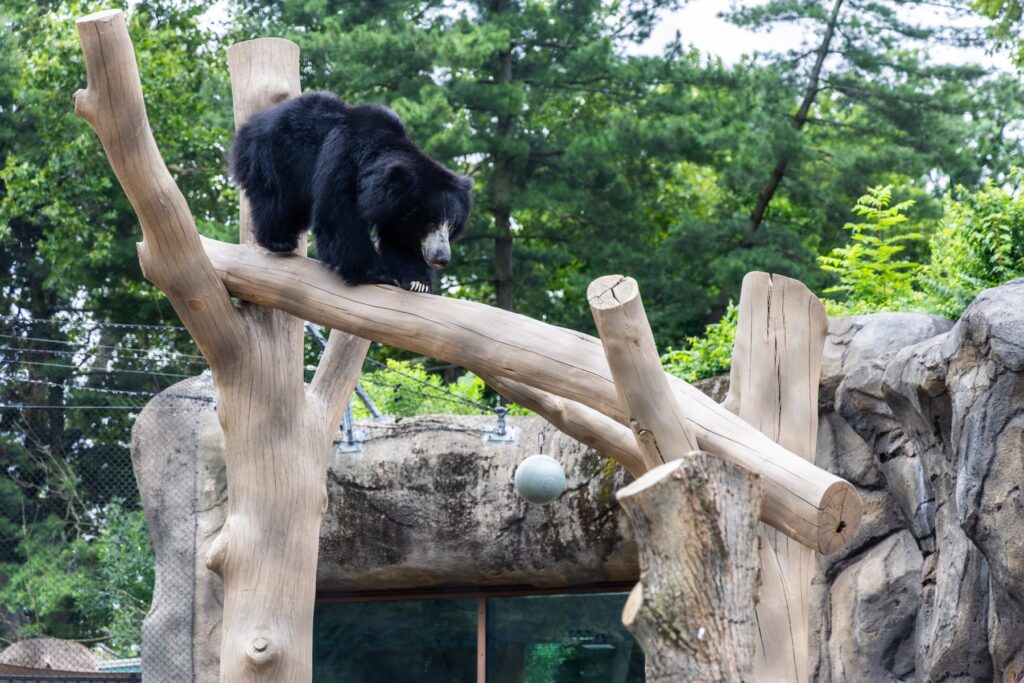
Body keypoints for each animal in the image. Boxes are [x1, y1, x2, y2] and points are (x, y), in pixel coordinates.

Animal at [229, 91, 472, 292]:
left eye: (451, 226)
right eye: (430, 223)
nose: (442, 258)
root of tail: (252, 126)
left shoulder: (396, 209)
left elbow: (399, 239)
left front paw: (417, 281)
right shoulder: (341, 160)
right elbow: (338, 218)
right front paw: (378, 274)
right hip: (274, 158)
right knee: (278, 201)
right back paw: (279, 241)